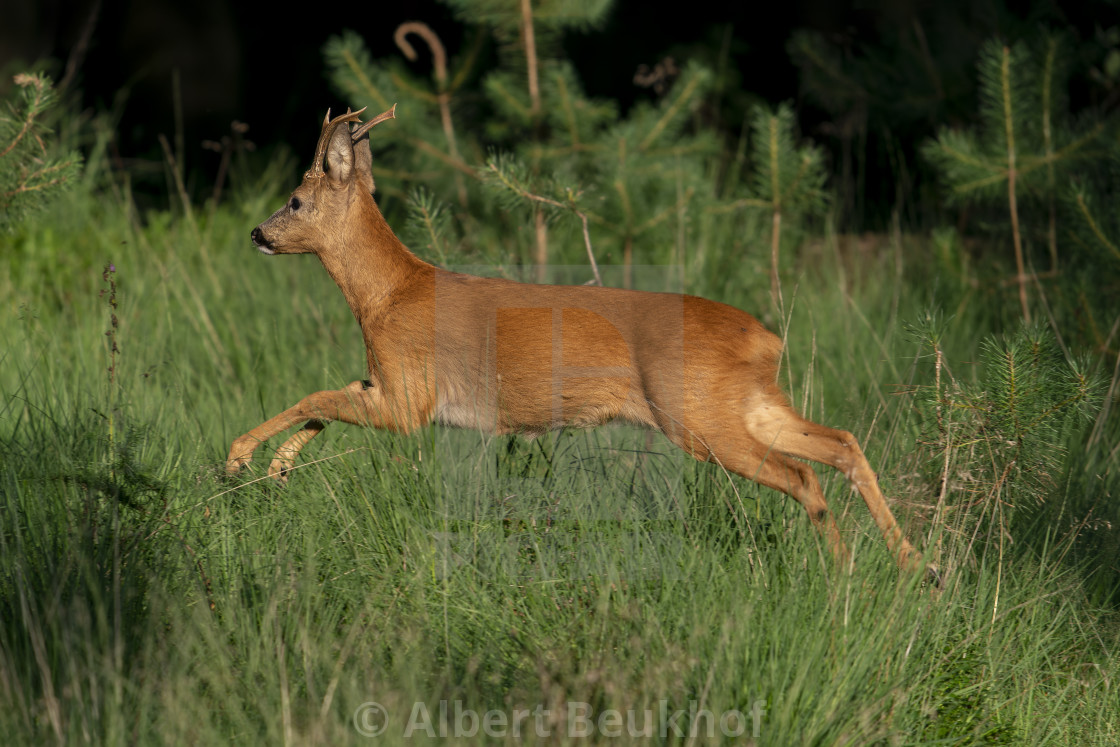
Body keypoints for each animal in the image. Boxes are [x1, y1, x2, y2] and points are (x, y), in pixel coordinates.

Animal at [227, 102, 927, 577]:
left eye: (295, 200)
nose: (257, 233)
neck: (388, 295)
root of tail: (766, 340)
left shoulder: (409, 400)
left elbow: (315, 398)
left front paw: (239, 459)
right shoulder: (386, 382)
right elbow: (324, 404)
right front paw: (278, 469)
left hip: (695, 415)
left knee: (804, 474)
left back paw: (849, 574)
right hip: (741, 404)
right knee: (842, 444)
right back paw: (919, 568)